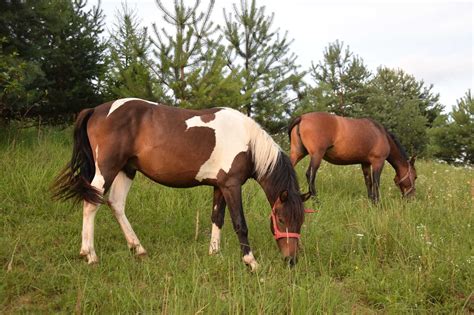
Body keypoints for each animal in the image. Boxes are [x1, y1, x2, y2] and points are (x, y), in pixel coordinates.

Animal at [51, 99, 308, 272]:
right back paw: (90, 255)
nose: (291, 260)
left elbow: (217, 218)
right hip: (107, 169)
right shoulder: (232, 186)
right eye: (281, 219)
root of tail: (96, 110)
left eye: (300, 221)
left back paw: (138, 249)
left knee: (116, 204)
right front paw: (251, 262)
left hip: (127, 170)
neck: (247, 142)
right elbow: (239, 224)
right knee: (91, 203)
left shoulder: (220, 186)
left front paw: (214, 254)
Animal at [286, 112, 416, 204]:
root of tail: (302, 118)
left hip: (297, 153)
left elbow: (368, 182)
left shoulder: (365, 163)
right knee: (310, 175)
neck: (381, 134)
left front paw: (371, 201)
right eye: (415, 177)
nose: (411, 198)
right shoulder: (378, 162)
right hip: (317, 155)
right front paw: (377, 202)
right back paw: (316, 201)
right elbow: (376, 182)